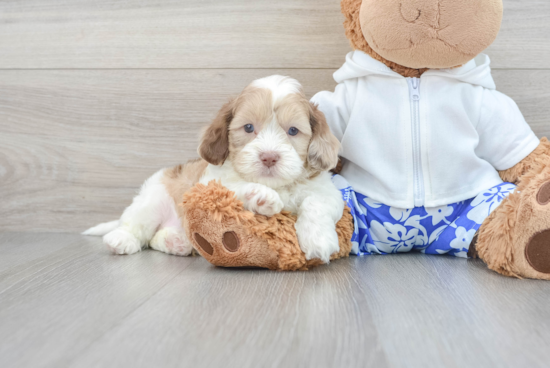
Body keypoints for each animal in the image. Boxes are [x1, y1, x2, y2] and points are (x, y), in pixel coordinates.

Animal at [85, 76, 344, 264]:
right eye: (248, 127)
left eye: (292, 131)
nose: (269, 157)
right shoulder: (208, 186)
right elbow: (231, 189)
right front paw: (260, 196)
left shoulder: (328, 192)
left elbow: (316, 202)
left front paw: (319, 240)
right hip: (153, 199)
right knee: (136, 225)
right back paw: (121, 239)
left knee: (156, 238)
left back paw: (177, 242)